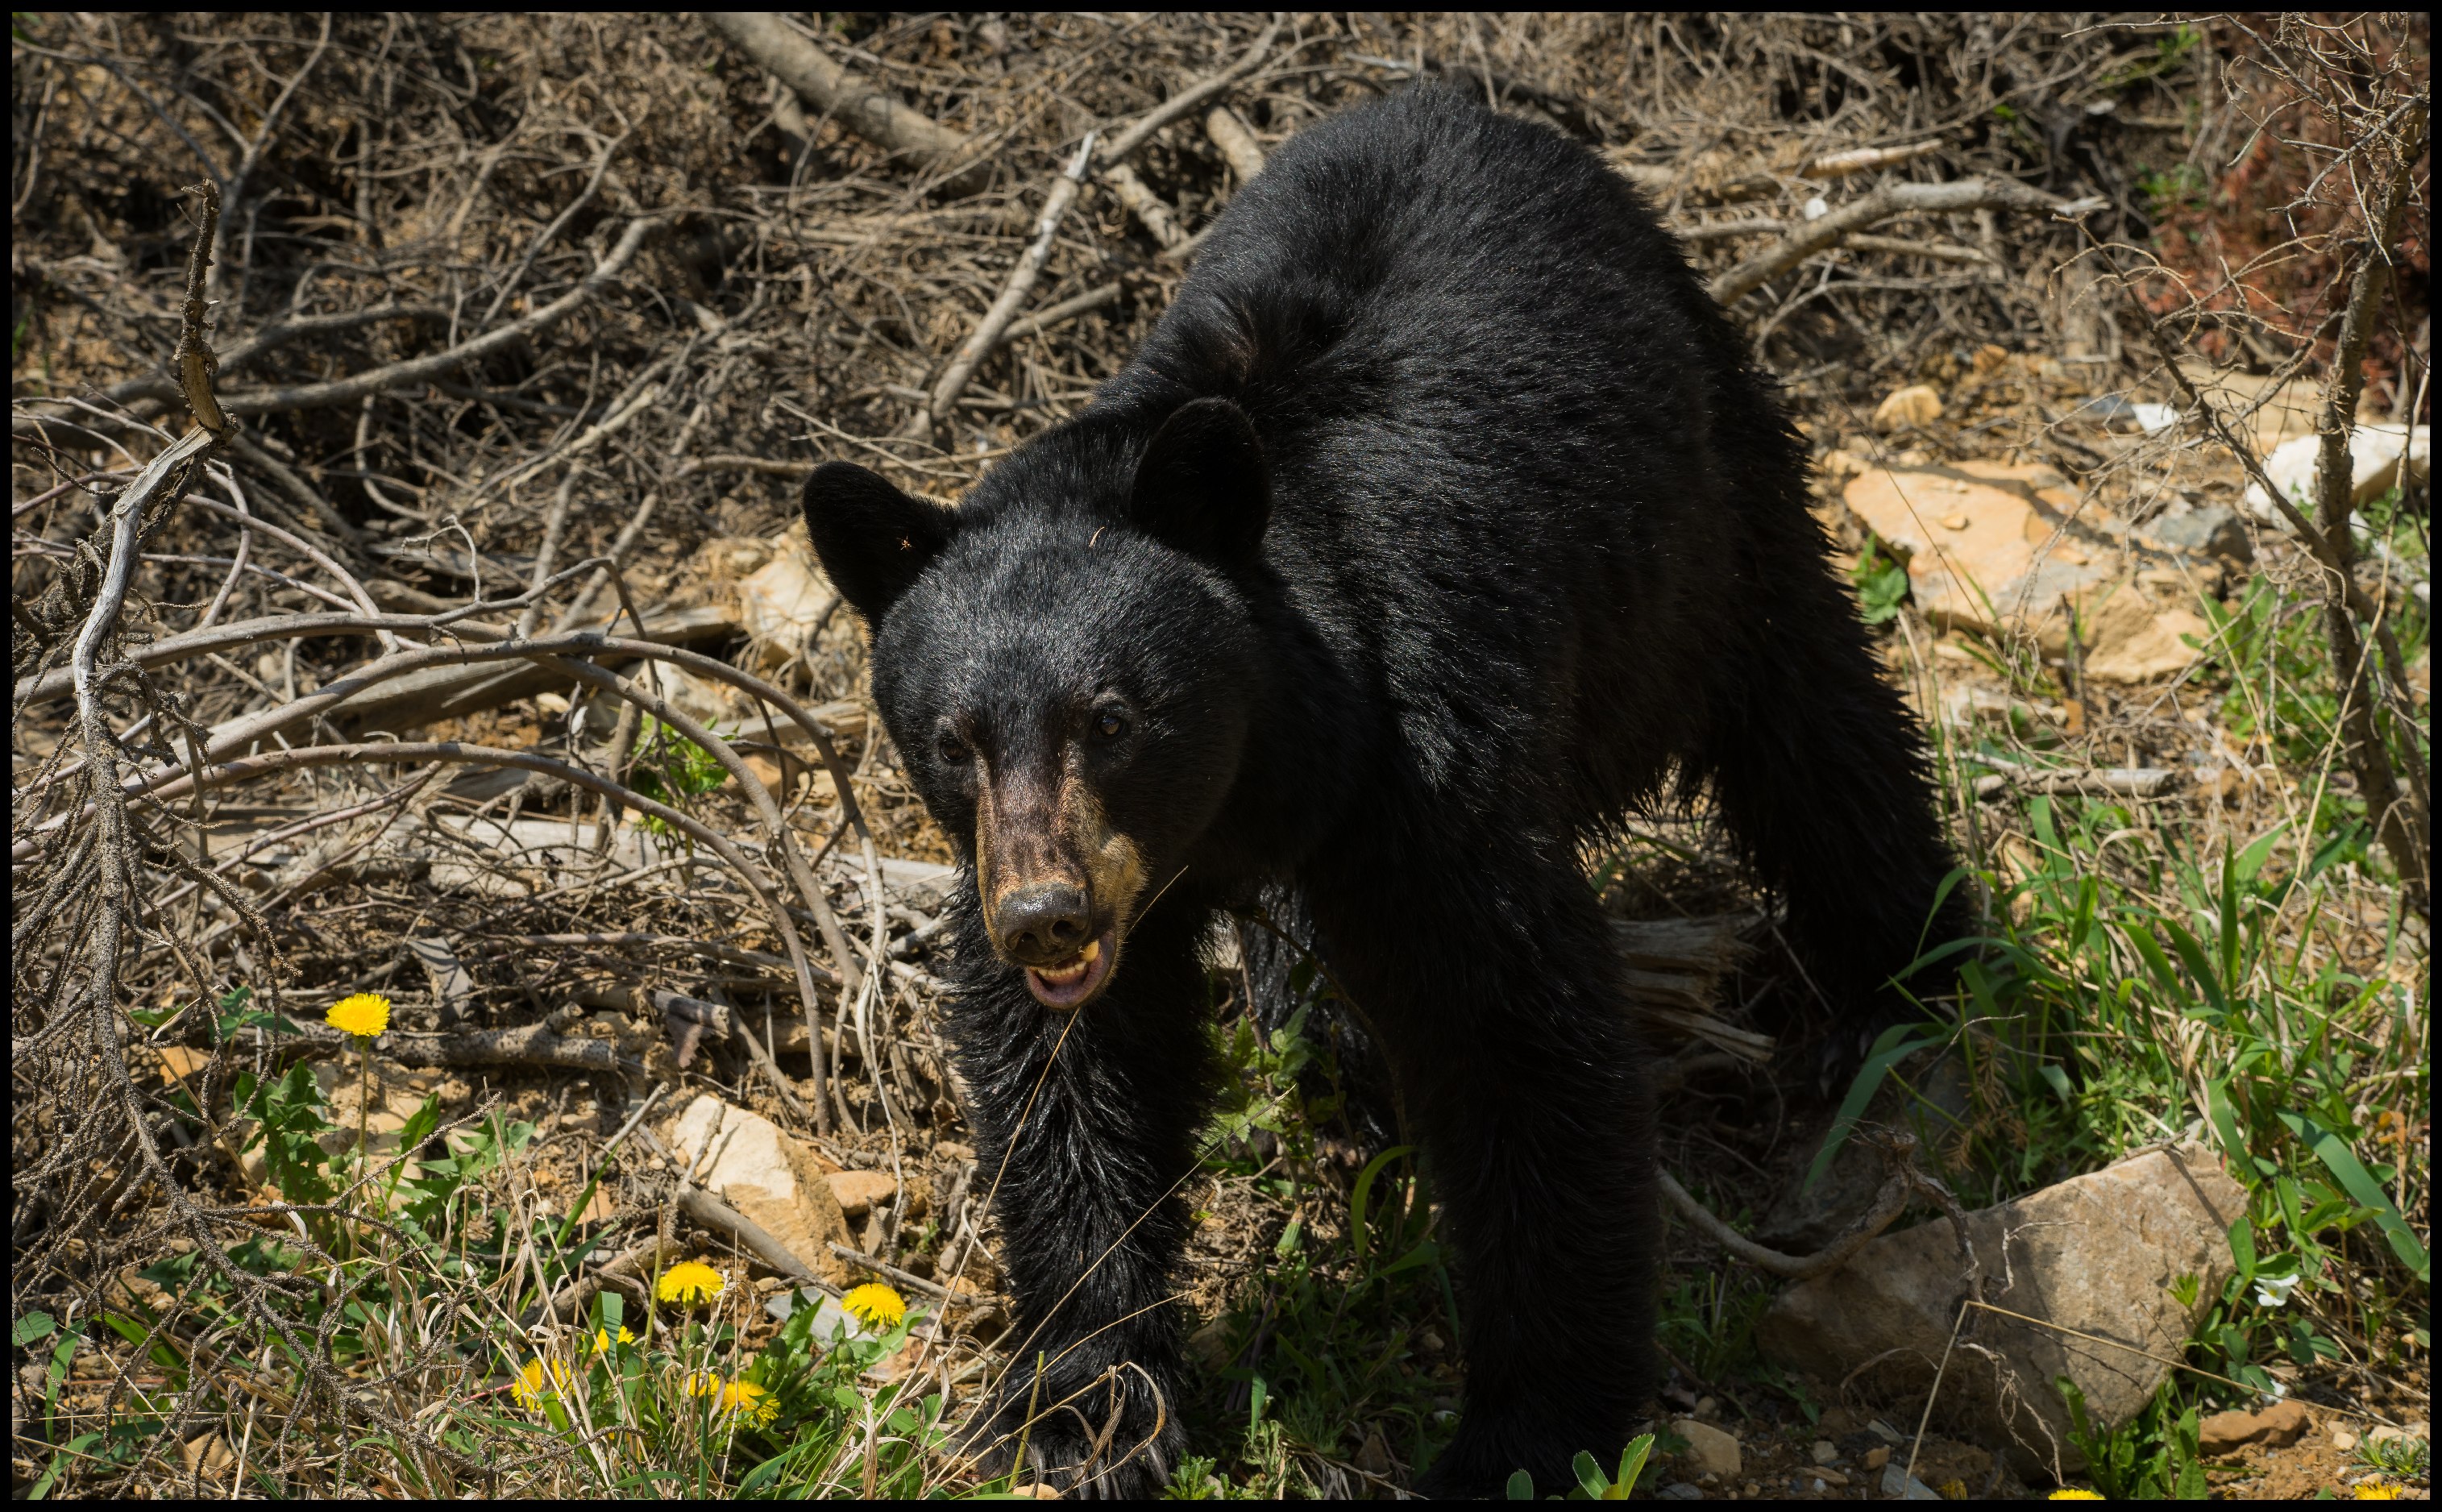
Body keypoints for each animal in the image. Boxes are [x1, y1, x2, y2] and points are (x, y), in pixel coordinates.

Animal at [800, 88, 1963, 1504]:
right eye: (953, 739)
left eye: (1112, 718)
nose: (1043, 918)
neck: (1268, 768)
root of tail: (1470, 103)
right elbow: (1072, 1077)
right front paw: (1086, 1400)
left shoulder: (1427, 774)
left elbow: (1516, 1037)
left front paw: (1527, 1435)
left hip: (1708, 487)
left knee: (1806, 711)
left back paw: (1902, 980)